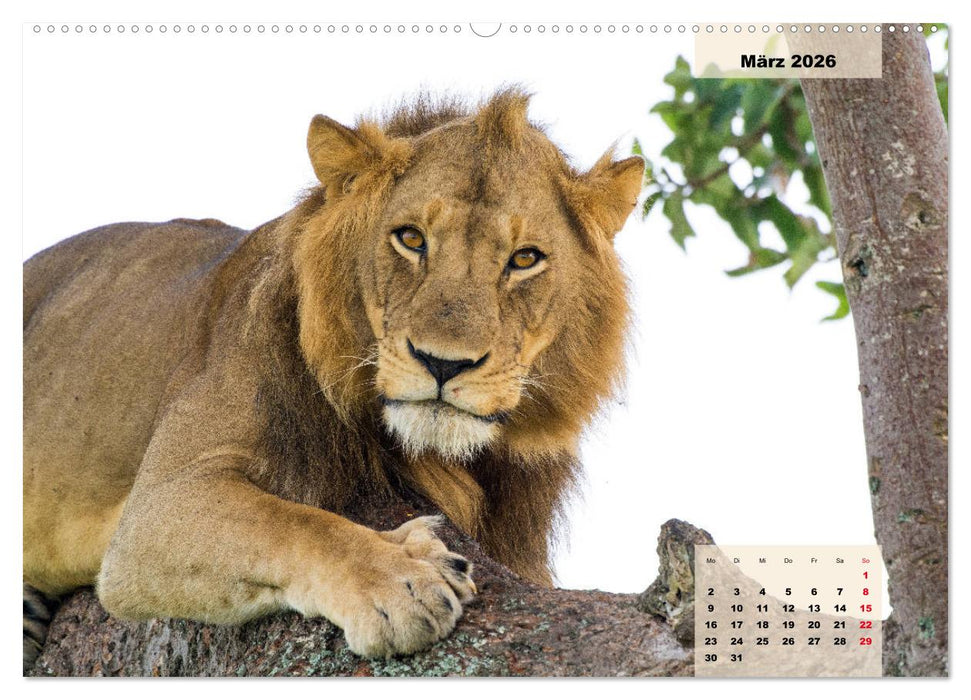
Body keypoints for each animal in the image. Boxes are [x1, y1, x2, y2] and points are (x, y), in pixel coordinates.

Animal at [22, 89, 643, 669]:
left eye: (525, 259)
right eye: (411, 239)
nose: (444, 363)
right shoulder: (157, 508)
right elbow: (293, 523)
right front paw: (402, 579)